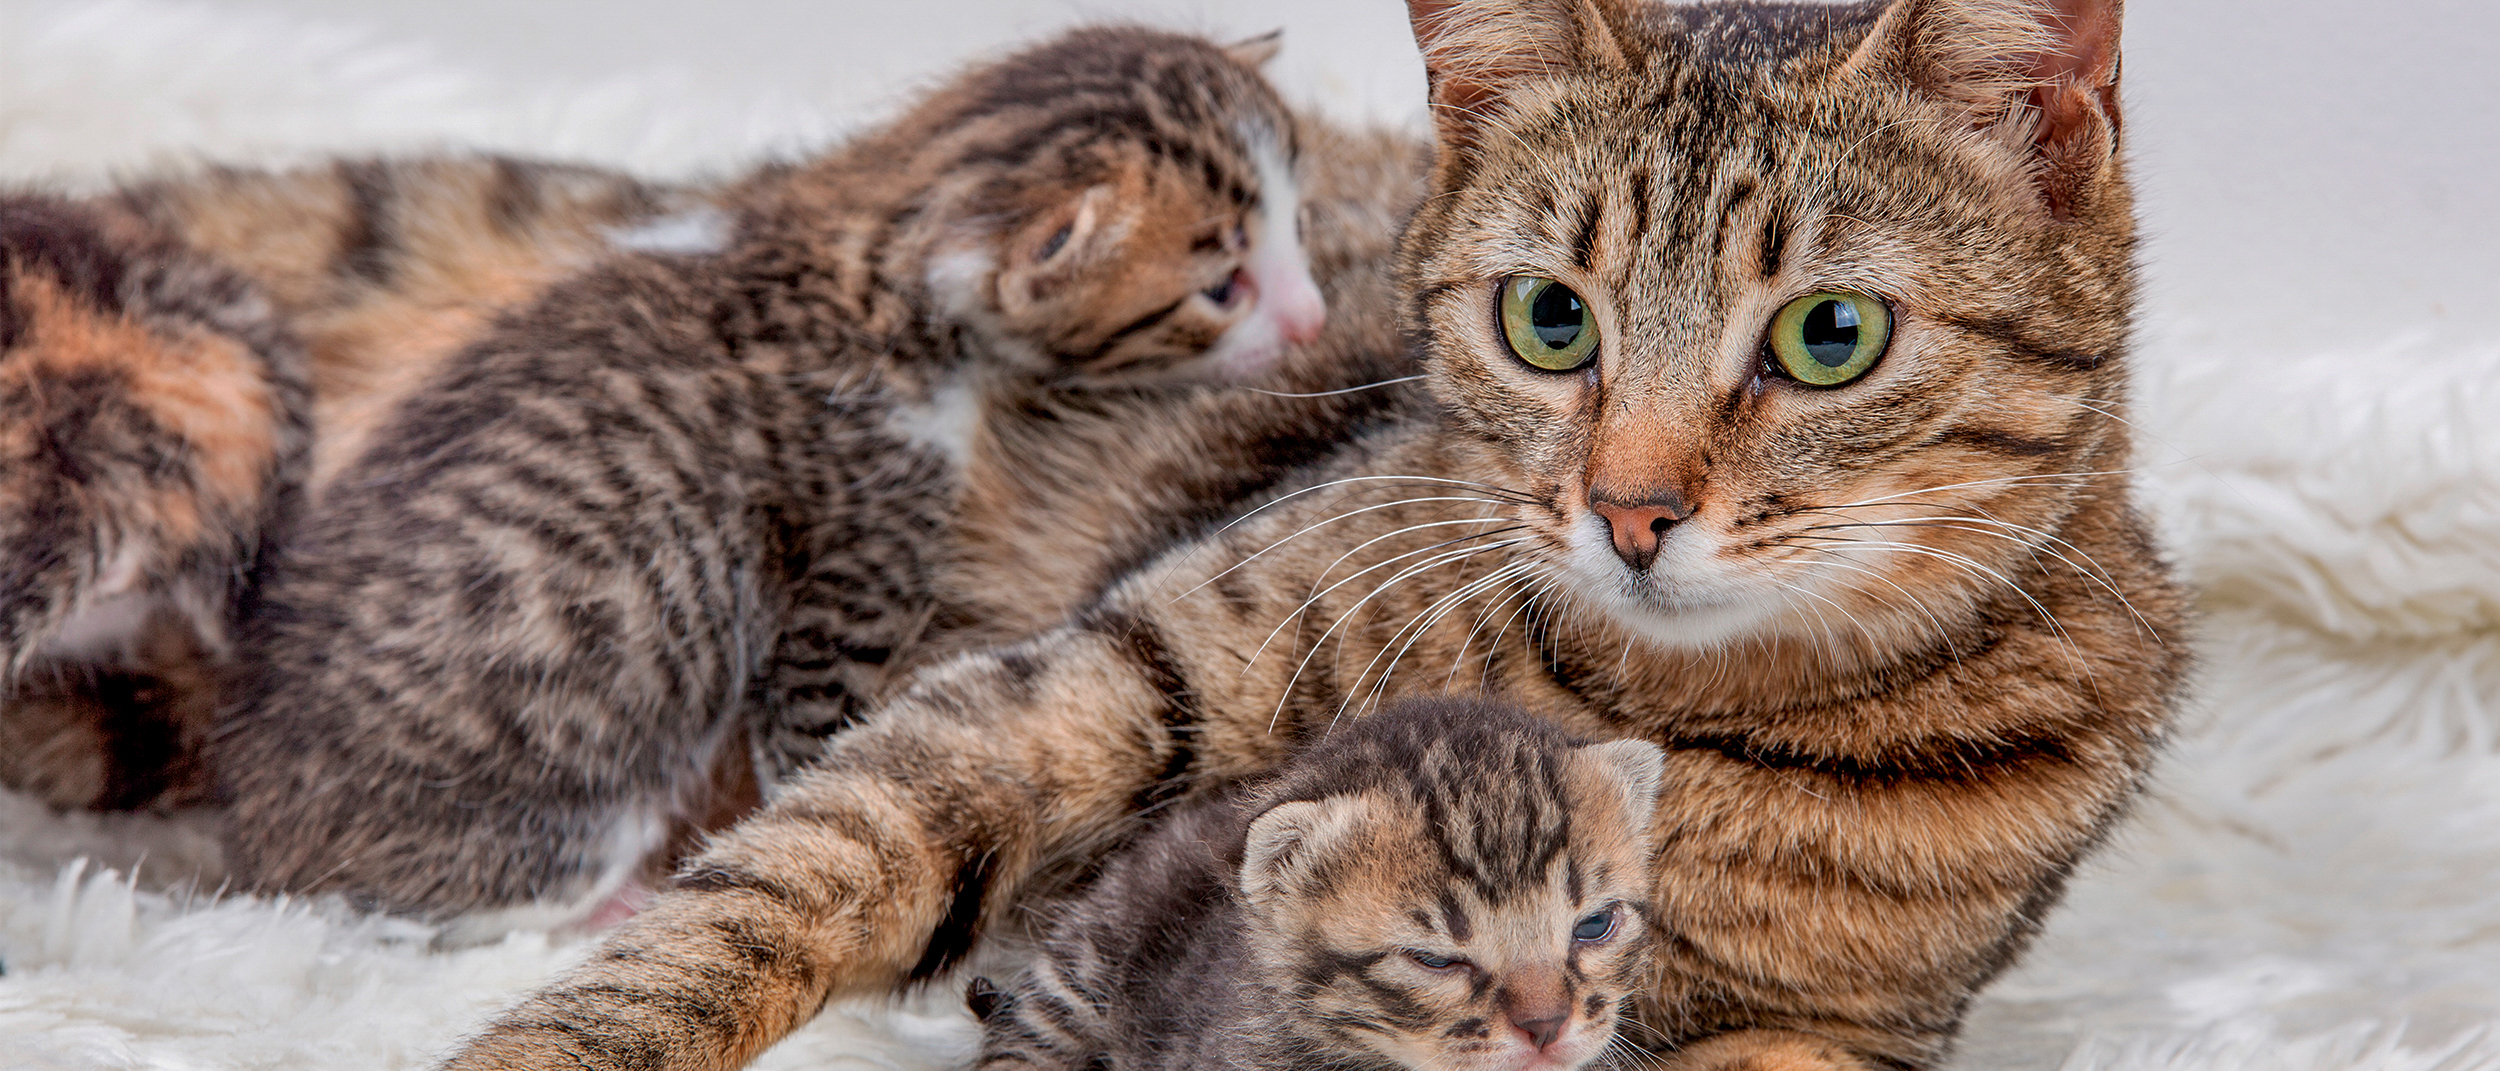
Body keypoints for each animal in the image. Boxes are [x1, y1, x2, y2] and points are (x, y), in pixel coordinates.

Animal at [195, 20, 1400, 930]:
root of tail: (253, 828)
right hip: (573, 794)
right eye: (1222, 287)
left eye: (1299, 223)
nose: (1312, 318)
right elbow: (825, 747)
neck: (859, 241)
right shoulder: (858, 542)